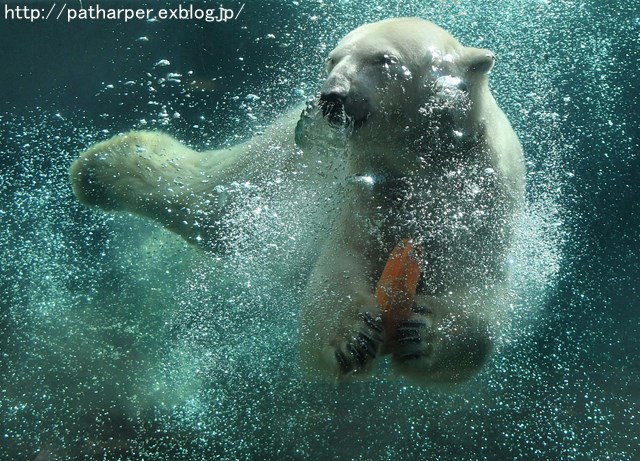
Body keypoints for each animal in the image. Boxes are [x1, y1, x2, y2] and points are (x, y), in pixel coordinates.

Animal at [69, 18, 524, 384]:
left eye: (384, 60)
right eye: (332, 59)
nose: (332, 96)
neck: (418, 166)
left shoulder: (478, 202)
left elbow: (478, 288)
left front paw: (420, 336)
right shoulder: (362, 192)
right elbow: (340, 264)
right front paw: (351, 340)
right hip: (279, 169)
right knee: (212, 199)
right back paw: (96, 167)